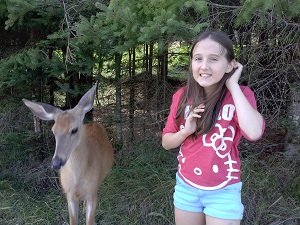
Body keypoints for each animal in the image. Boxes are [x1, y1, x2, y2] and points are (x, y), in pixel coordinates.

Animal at [22, 82, 114, 225]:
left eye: (74, 129)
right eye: (53, 131)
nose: (56, 163)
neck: (77, 178)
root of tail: (93, 123)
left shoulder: (92, 192)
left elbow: (89, 221)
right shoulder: (69, 194)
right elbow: (73, 221)